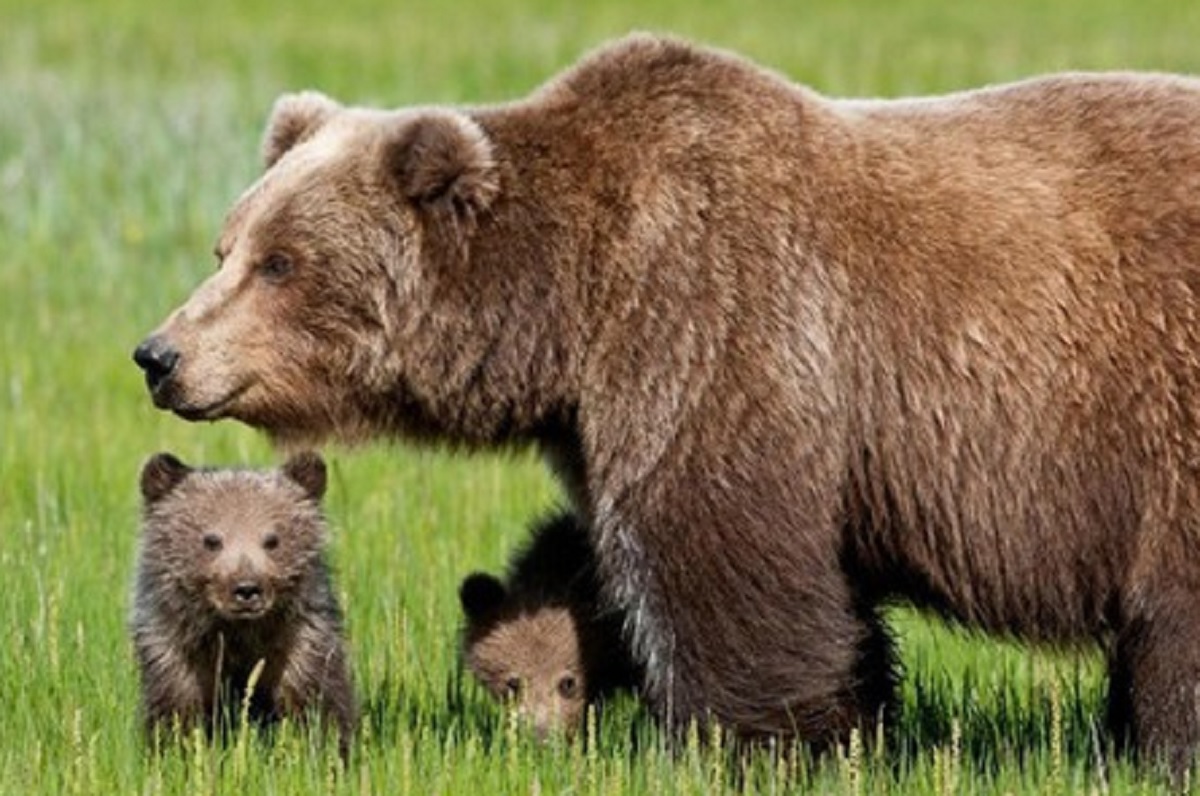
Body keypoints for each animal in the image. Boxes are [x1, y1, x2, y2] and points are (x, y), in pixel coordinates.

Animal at [131, 450, 356, 756]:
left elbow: (318, 702)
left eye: (272, 539)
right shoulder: (175, 648)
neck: (239, 634)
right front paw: (175, 749)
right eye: (211, 539)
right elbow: (177, 711)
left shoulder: (299, 642)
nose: (247, 589)